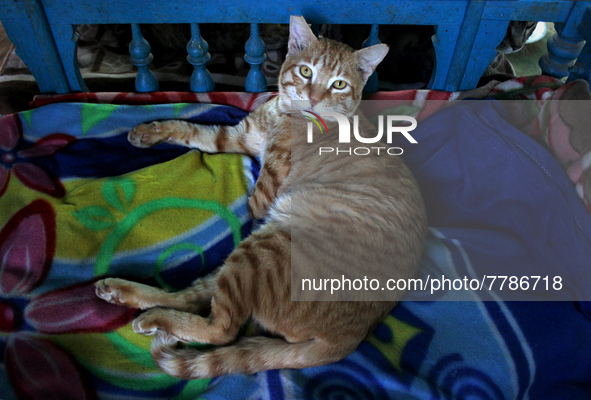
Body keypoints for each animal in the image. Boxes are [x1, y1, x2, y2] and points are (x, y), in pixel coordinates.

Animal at [95, 15, 426, 378]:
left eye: (339, 84)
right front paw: (149, 131)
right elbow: (189, 128)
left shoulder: (263, 194)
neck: (283, 112)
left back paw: (155, 319)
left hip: (264, 247)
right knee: (192, 296)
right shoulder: (235, 137)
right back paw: (121, 291)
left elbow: (248, 195)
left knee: (222, 329)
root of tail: (351, 339)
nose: (312, 97)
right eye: (306, 72)